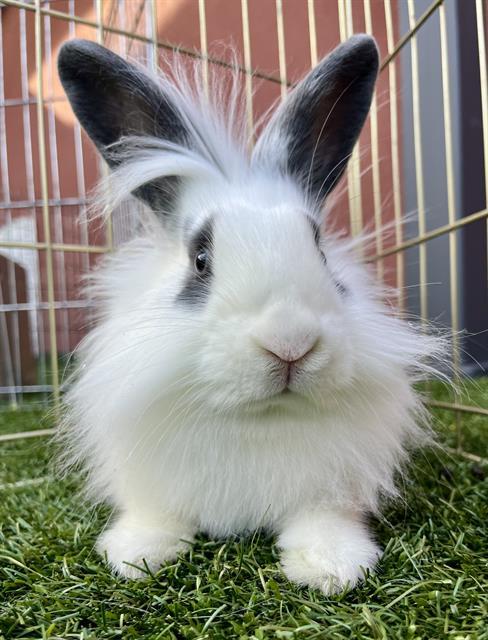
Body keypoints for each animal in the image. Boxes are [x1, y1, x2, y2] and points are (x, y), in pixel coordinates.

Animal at [57, 35, 444, 595]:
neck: (259, 417)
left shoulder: (330, 488)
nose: (289, 343)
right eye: (200, 259)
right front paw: (135, 556)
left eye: (320, 250)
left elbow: (322, 522)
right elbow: (156, 515)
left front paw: (332, 568)